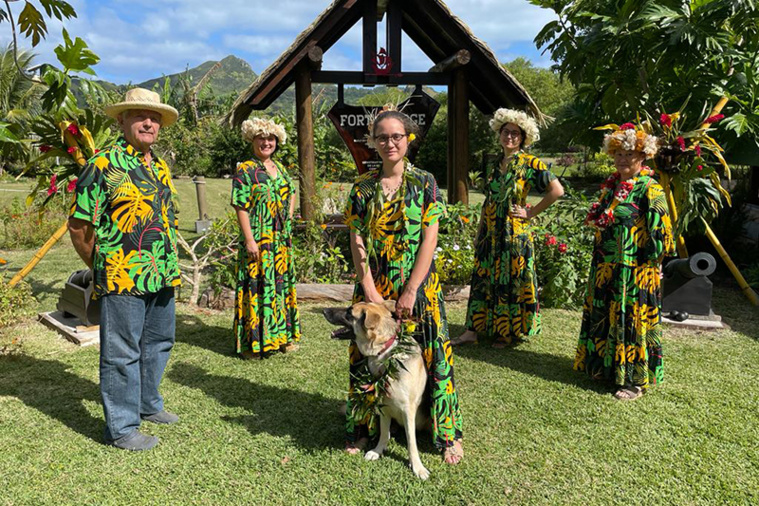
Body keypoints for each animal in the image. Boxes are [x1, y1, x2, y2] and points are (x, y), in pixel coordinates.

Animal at [326, 302, 436, 480]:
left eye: (349, 313)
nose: (324, 310)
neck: (385, 352)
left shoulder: (408, 410)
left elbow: (411, 442)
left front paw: (417, 467)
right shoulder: (384, 406)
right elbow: (384, 432)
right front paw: (377, 451)